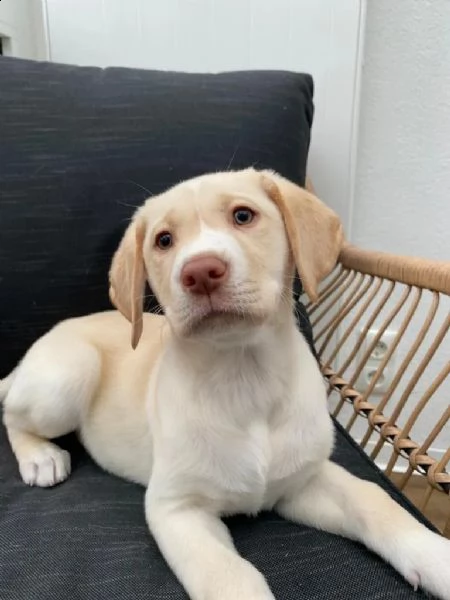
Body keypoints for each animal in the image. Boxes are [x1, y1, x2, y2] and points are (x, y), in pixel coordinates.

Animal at [0, 170, 450, 600]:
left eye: (243, 216)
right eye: (164, 240)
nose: (200, 272)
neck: (244, 376)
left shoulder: (304, 480)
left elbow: (375, 501)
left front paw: (434, 557)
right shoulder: (177, 508)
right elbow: (229, 577)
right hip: (70, 371)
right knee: (12, 415)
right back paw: (41, 457)